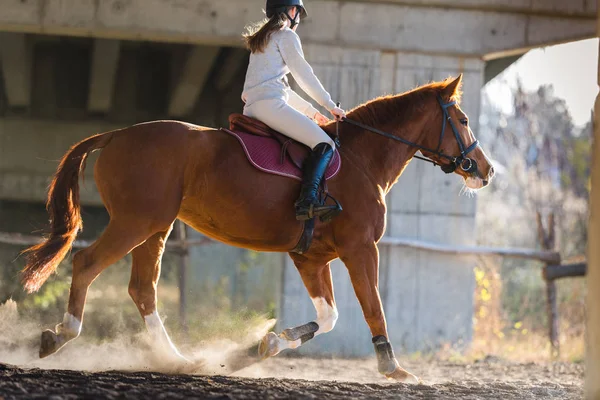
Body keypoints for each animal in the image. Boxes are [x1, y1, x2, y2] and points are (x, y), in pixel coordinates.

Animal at [22, 74, 492, 382]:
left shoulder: (310, 257)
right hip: (135, 222)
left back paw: (179, 361)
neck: (361, 160)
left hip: (155, 228)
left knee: (142, 289)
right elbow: (371, 306)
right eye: (464, 120)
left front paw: (259, 348)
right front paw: (392, 367)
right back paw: (60, 336)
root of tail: (117, 134)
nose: (485, 171)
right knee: (87, 263)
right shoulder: (361, 249)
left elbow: (330, 316)